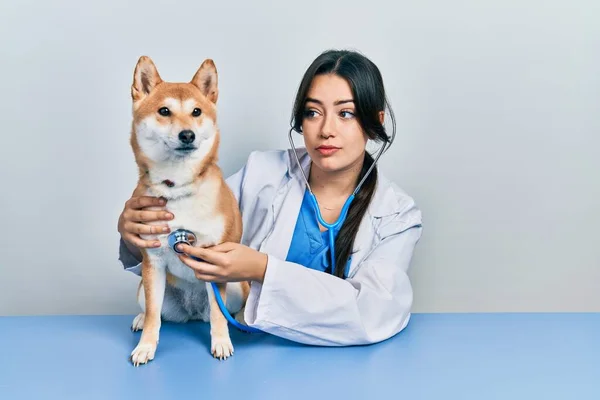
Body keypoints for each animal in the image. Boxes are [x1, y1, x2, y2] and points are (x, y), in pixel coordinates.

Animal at [126, 55, 248, 366]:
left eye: (196, 112)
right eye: (164, 111)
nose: (187, 134)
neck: (177, 188)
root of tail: (192, 311)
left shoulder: (216, 260)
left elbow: (218, 315)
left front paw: (221, 342)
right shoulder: (153, 261)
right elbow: (154, 318)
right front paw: (146, 346)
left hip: (237, 285)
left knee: (229, 310)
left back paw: (242, 320)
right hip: (144, 288)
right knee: (153, 310)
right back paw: (140, 318)